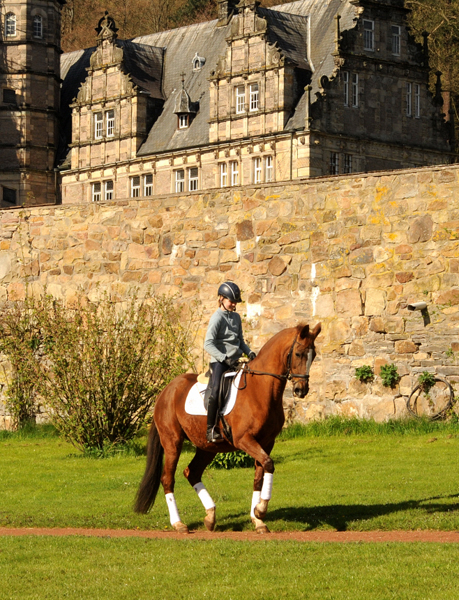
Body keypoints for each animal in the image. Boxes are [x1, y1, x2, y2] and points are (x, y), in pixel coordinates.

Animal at [134, 324, 320, 536]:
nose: (301, 390)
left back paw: (210, 516)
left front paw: (258, 519)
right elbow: (269, 464)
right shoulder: (244, 440)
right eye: (298, 353)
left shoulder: (266, 442)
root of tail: (166, 390)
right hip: (172, 442)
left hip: (207, 447)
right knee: (167, 479)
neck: (260, 388)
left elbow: (259, 476)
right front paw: (260, 510)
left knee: (192, 472)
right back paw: (179, 524)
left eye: (313, 355)